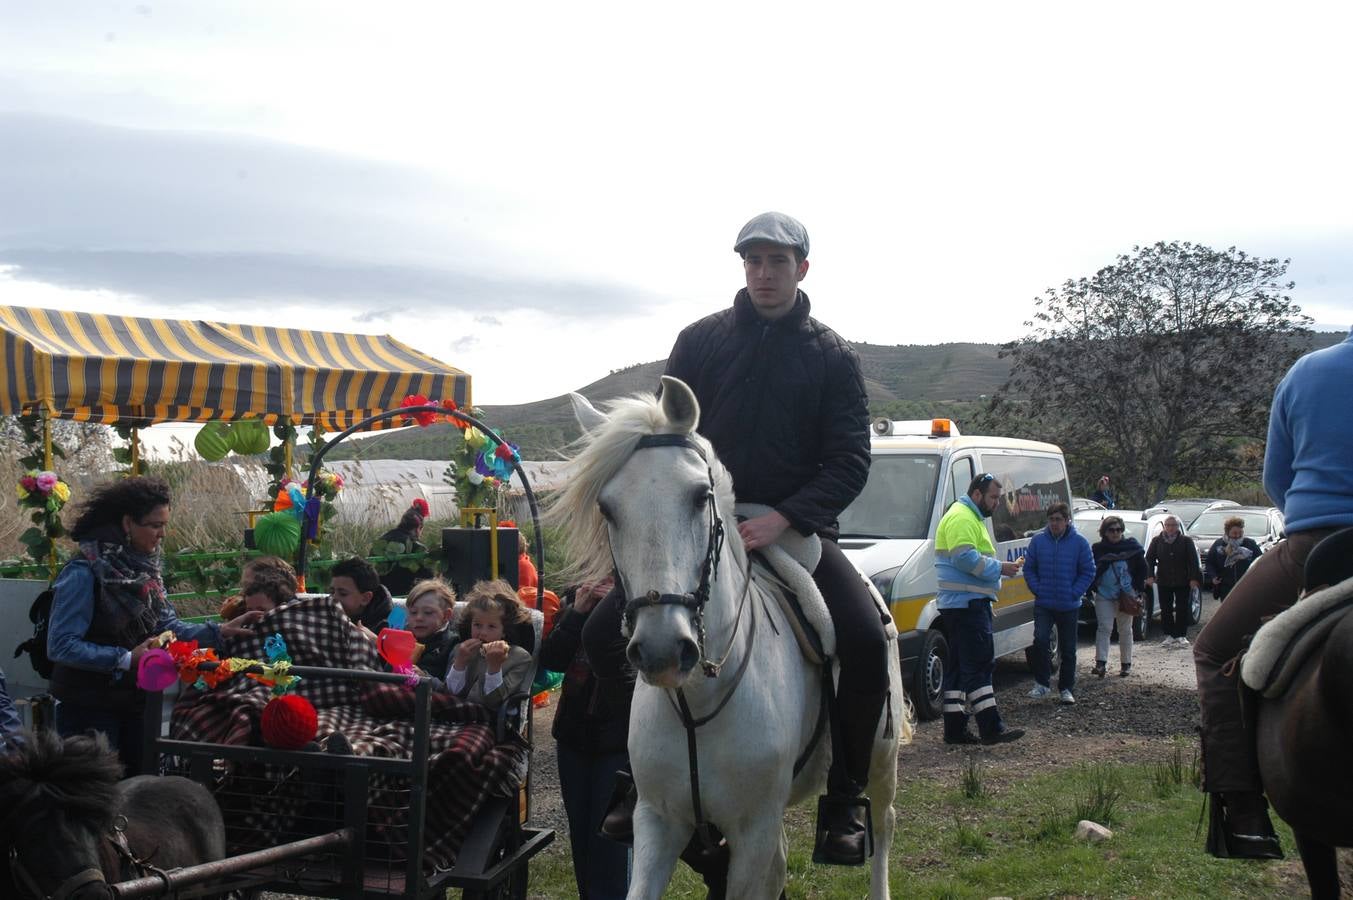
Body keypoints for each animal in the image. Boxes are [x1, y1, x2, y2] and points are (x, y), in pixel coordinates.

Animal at [549, 376, 909, 898]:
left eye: (701, 496)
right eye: (607, 509)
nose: (663, 649)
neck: (699, 699)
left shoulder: (754, 833)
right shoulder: (658, 822)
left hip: (881, 759)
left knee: (883, 825)